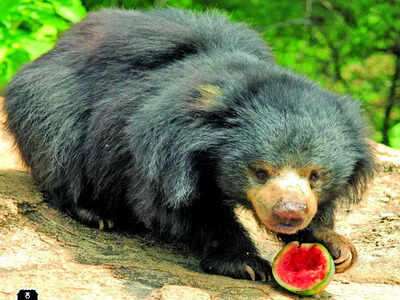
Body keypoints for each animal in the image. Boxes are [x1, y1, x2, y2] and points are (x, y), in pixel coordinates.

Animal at [3, 8, 372, 282]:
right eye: (260, 172)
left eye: (315, 175)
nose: (290, 212)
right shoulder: (161, 151)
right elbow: (181, 206)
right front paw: (246, 262)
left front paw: (333, 244)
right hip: (50, 103)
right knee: (58, 149)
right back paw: (95, 213)